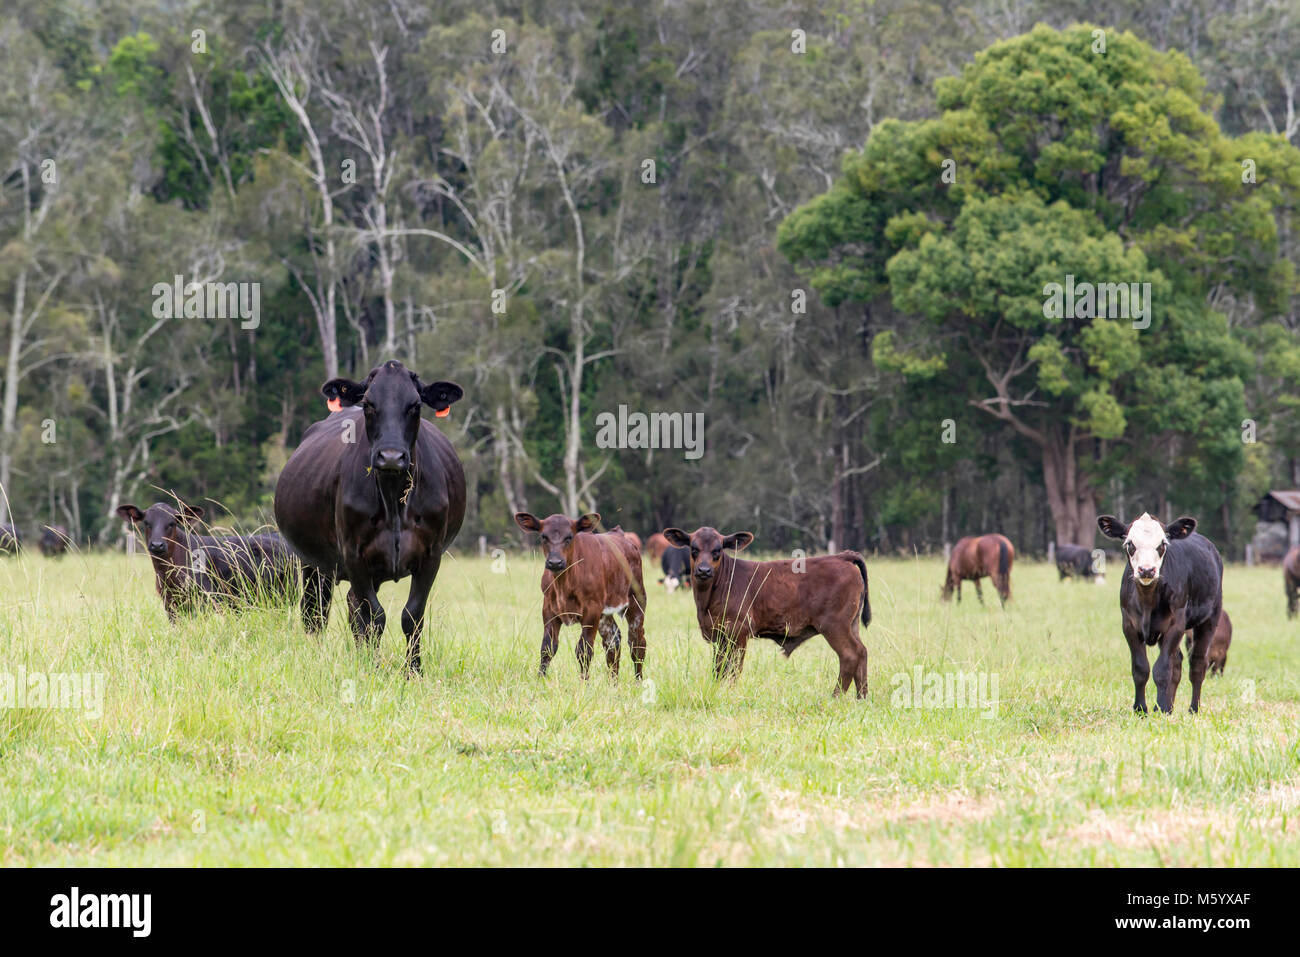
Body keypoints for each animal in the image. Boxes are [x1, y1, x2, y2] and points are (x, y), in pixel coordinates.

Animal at [276, 358, 470, 670]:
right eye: (368, 403)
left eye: (415, 405)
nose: (391, 456)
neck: (393, 500)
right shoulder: (353, 553)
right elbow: (373, 617)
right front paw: (373, 667)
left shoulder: (431, 554)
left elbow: (412, 615)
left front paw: (413, 670)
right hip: (312, 563)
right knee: (315, 613)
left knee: (351, 604)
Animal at [665, 527, 868, 696]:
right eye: (693, 548)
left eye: (718, 550)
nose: (704, 570)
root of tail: (841, 557)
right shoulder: (718, 636)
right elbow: (719, 669)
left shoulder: (739, 633)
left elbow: (734, 669)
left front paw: (730, 693)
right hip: (852, 625)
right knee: (862, 652)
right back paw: (861, 698)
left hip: (834, 625)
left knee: (850, 655)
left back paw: (836, 697)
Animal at [1092, 514, 1222, 712]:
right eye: (1130, 543)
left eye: (1162, 544)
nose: (1146, 570)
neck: (1147, 601)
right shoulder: (1129, 625)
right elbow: (1140, 668)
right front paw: (1141, 708)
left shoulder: (1176, 624)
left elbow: (1162, 669)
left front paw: (1160, 707)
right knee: (1177, 662)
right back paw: (1169, 706)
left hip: (1210, 618)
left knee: (1197, 664)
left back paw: (1193, 709)